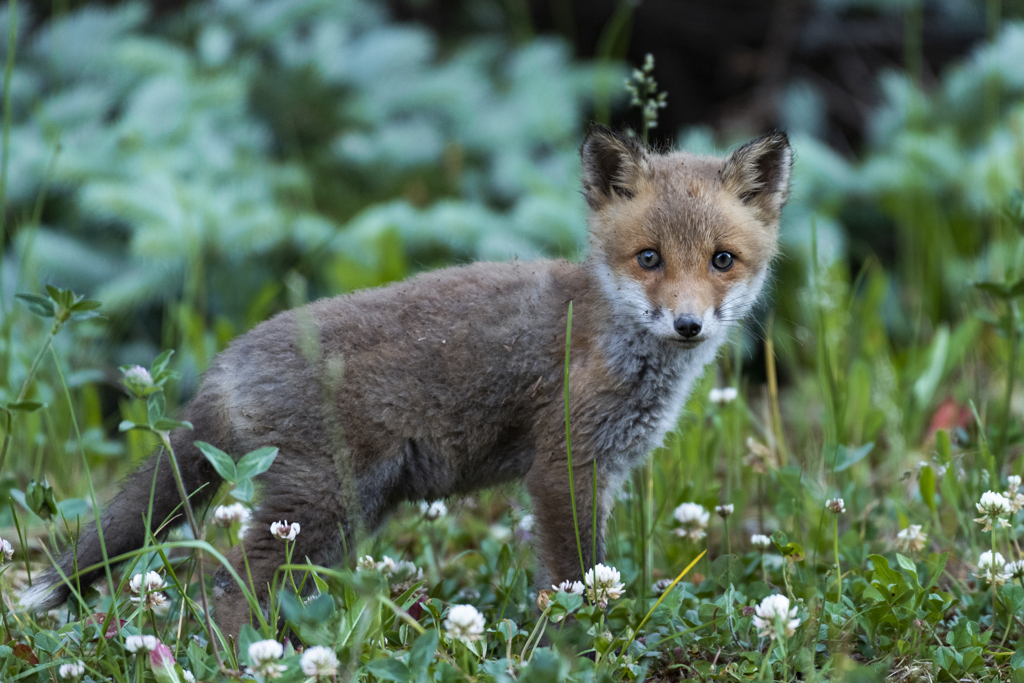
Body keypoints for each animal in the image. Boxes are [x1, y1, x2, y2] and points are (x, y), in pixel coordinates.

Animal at [22, 125, 790, 638]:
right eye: (649, 258)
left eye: (722, 259)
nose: (688, 325)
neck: (613, 337)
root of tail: (223, 366)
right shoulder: (563, 465)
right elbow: (574, 580)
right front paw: (583, 642)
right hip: (315, 507)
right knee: (226, 591)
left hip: (345, 515)